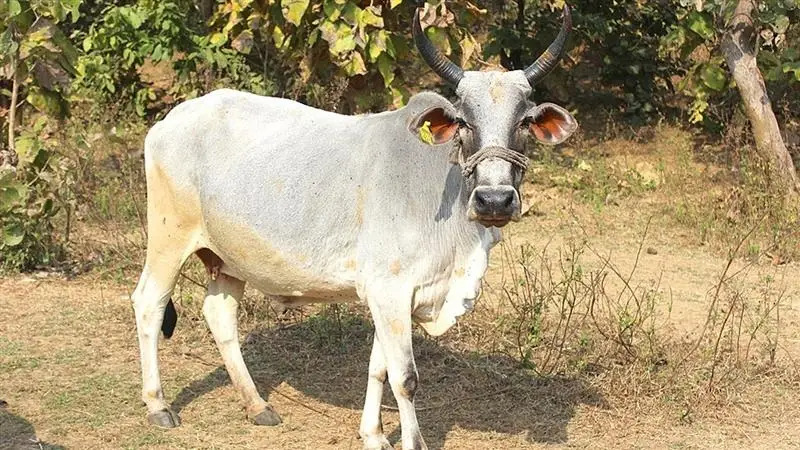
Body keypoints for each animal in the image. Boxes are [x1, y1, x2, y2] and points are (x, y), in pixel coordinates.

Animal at [130, 5, 577, 449]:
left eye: (524, 121)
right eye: (464, 121)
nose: (494, 200)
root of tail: (173, 119)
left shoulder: (391, 296)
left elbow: (379, 368)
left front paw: (374, 435)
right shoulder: (389, 289)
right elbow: (405, 378)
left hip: (228, 257)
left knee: (220, 314)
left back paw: (257, 404)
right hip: (170, 238)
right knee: (149, 303)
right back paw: (158, 405)